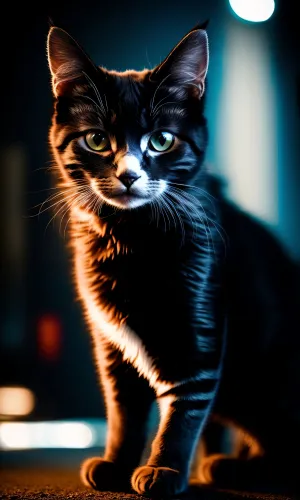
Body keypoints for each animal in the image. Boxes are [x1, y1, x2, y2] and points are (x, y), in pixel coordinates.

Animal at [45, 24, 300, 496]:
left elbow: (185, 406)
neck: (130, 239)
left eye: (161, 140)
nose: (128, 174)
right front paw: (116, 462)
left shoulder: (198, 326)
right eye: (96, 140)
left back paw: (229, 467)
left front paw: (163, 468)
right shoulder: (110, 341)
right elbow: (123, 410)